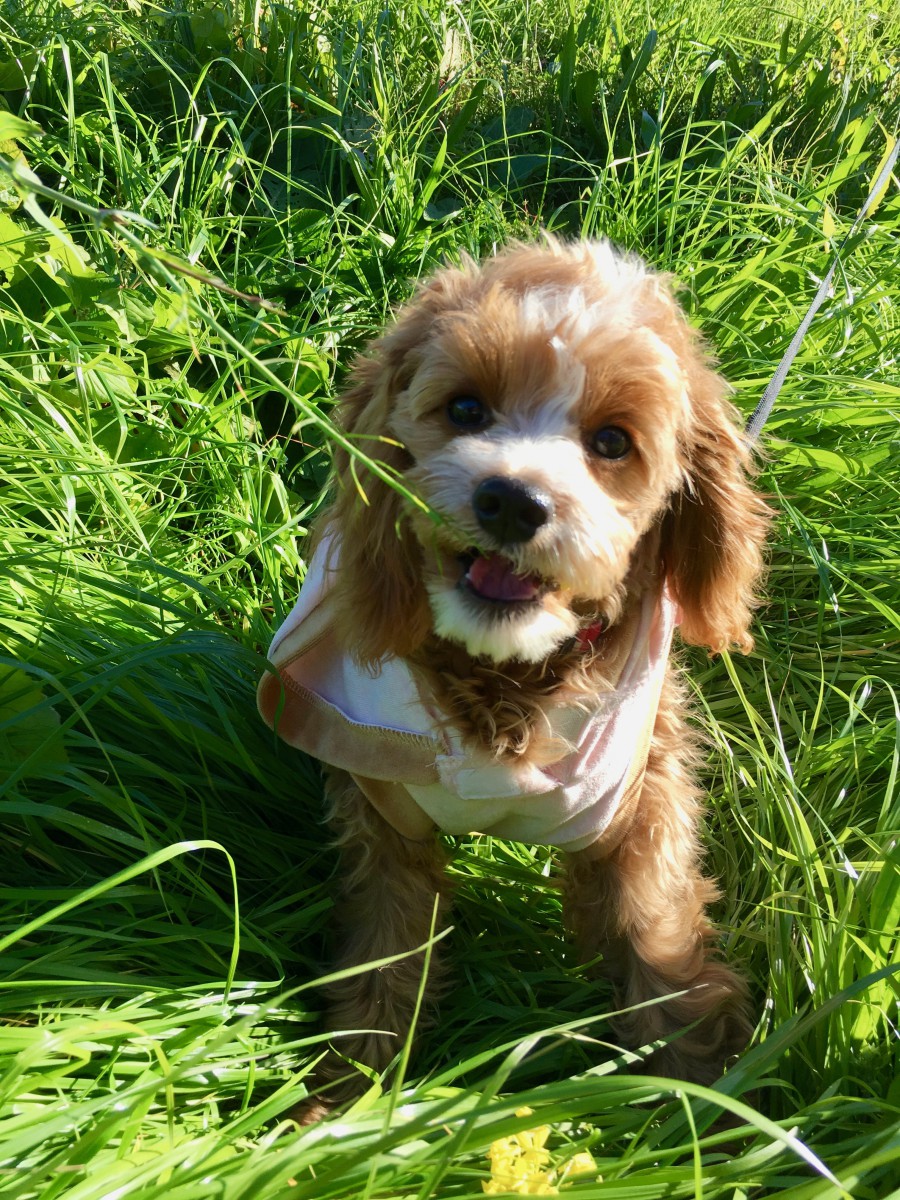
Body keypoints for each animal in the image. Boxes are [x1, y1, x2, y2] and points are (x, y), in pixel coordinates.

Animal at [256, 238, 772, 1108]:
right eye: (466, 410)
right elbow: (387, 939)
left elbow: (653, 927)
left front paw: (698, 1098)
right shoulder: (381, 811)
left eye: (612, 442)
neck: (506, 677)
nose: (513, 501)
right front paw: (349, 1093)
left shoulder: (639, 797)